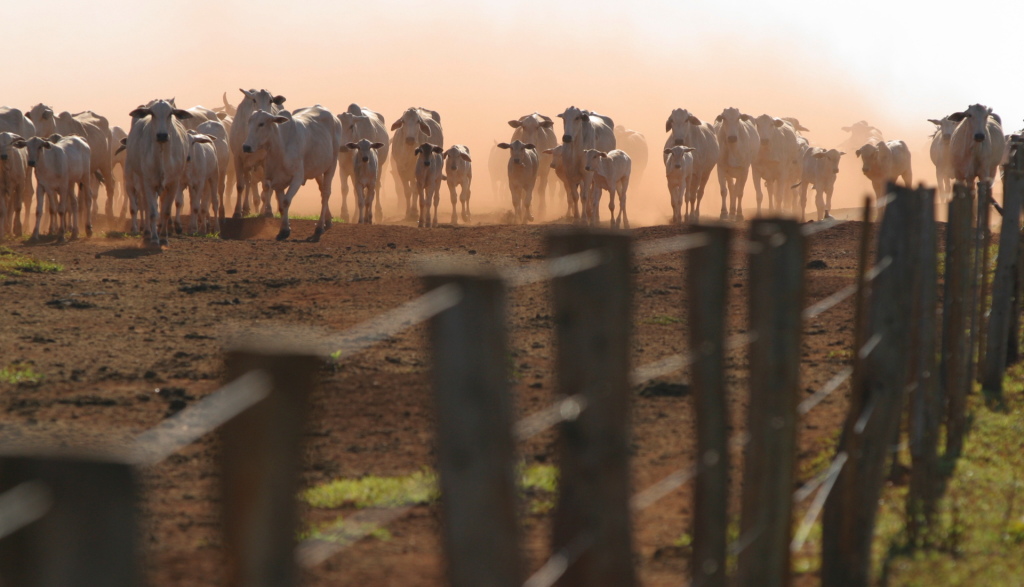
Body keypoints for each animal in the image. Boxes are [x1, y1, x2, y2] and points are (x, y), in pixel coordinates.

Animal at [242, 106, 344, 240]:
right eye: (249, 122)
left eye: (261, 124)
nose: (246, 147)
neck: (280, 147)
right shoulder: (277, 181)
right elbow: (281, 205)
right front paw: (284, 229)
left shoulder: (297, 179)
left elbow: (286, 201)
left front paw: (285, 229)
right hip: (317, 169)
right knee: (322, 190)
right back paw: (328, 220)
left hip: (332, 164)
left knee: (326, 193)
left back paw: (319, 226)